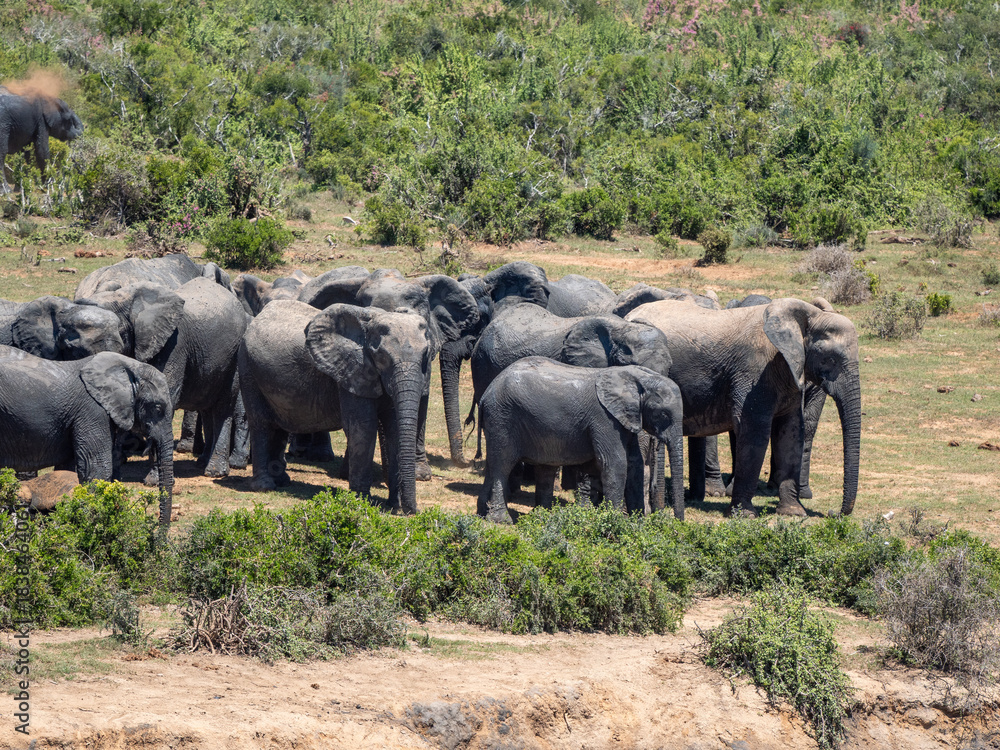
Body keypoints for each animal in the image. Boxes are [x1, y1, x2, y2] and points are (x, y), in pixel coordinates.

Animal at [239, 301, 446, 514]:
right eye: (382, 357)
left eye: (425, 356)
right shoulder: (352, 371)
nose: (413, 511)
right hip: (247, 367)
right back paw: (264, 486)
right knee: (261, 423)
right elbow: (363, 428)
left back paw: (282, 482)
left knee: (279, 426)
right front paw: (362, 503)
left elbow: (395, 428)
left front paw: (394, 507)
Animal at [477, 357, 685, 523]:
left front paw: (637, 524)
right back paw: (501, 521)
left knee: (502, 466)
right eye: (663, 414)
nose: (678, 524)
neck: (636, 376)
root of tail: (486, 393)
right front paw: (616, 522)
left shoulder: (626, 418)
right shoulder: (604, 418)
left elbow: (636, 464)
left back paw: (487, 515)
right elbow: (614, 464)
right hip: (502, 417)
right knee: (502, 465)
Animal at [627, 297, 861, 517]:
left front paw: (794, 512)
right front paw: (745, 515)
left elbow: (792, 432)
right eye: (830, 359)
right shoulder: (754, 372)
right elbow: (755, 431)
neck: (807, 317)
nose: (833, 513)